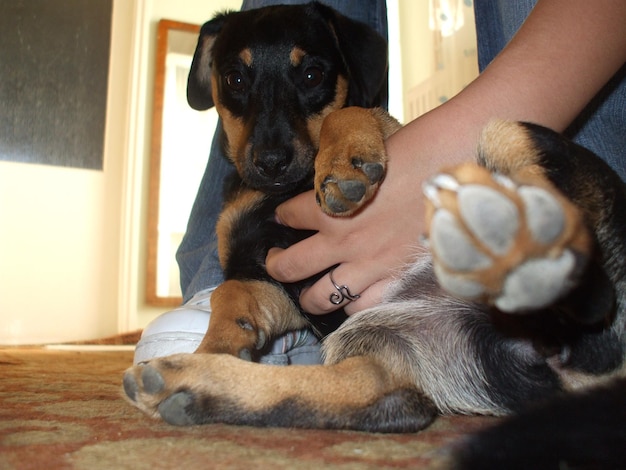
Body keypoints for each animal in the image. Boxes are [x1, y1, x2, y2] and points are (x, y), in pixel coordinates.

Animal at [123, 1, 624, 466]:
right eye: (234, 79)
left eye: (312, 74)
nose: (271, 162)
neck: (280, 192)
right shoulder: (274, 279)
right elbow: (229, 295)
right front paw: (217, 345)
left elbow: (351, 113)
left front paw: (343, 162)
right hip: (383, 351)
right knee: (385, 399)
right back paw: (183, 382)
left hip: (502, 131)